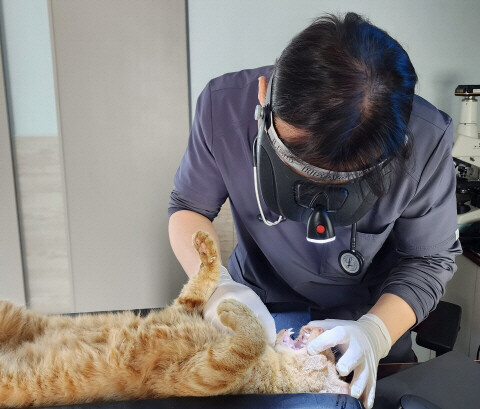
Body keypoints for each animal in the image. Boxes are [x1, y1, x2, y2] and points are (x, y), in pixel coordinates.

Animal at [0, 230, 346, 404]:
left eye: (329, 353)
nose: (313, 329)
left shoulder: (202, 373)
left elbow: (249, 340)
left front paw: (237, 310)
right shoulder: (184, 306)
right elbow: (202, 281)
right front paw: (207, 251)